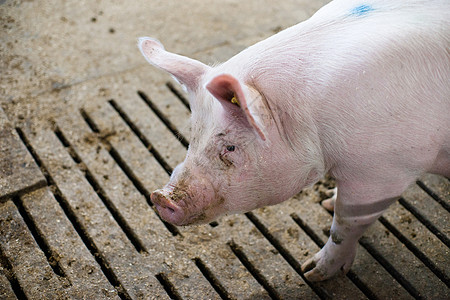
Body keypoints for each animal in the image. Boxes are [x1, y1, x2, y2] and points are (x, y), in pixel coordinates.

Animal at [139, 0, 448, 282]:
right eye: (193, 136)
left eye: (230, 147)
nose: (160, 197)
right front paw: (327, 201)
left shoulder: (382, 171)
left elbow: (344, 225)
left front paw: (311, 272)